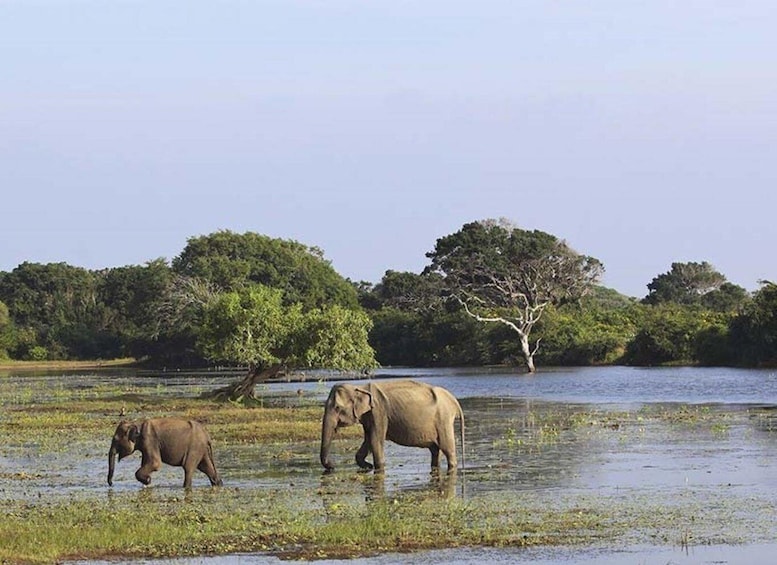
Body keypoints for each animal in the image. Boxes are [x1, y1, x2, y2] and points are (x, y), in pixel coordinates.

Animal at [319, 380, 465, 473]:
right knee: (435, 450)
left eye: (337, 408)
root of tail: (454, 400)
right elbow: (368, 440)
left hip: (443, 419)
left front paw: (376, 467)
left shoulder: (379, 412)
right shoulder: (369, 416)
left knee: (447, 448)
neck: (359, 387)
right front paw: (368, 466)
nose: (332, 466)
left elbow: (375, 440)